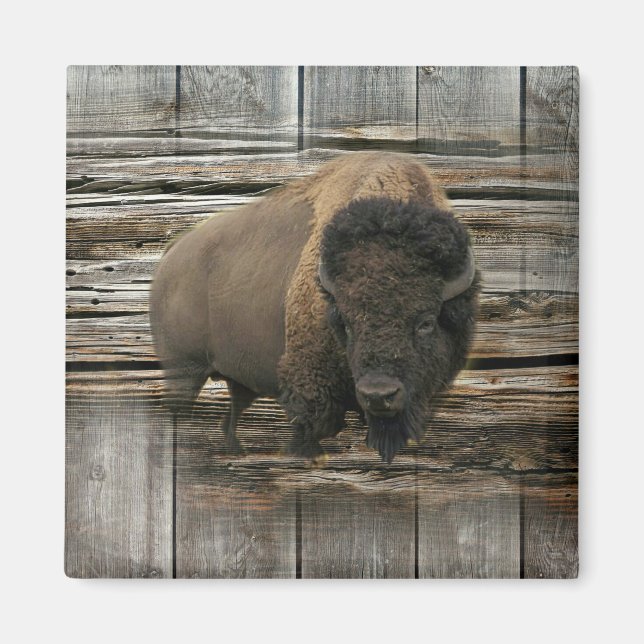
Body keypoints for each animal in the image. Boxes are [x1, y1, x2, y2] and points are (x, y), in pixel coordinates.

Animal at [149, 152, 479, 463]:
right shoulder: (311, 390)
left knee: (229, 420)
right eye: (345, 323)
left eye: (426, 322)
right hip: (183, 371)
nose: (378, 395)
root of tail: (172, 253)